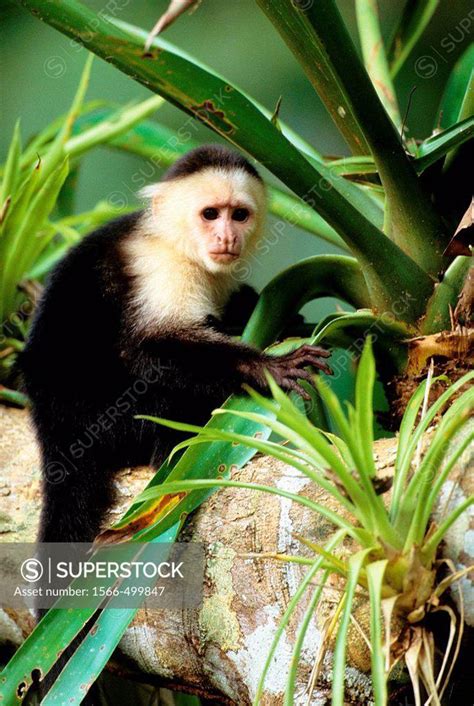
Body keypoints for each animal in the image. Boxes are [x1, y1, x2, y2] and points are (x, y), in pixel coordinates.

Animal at [21, 146, 330, 548]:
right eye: (210, 214)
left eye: (239, 214)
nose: (227, 237)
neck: (176, 242)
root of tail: (53, 429)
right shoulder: (161, 265)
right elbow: (148, 348)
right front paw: (266, 366)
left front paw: (275, 317)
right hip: (112, 424)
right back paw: (173, 446)